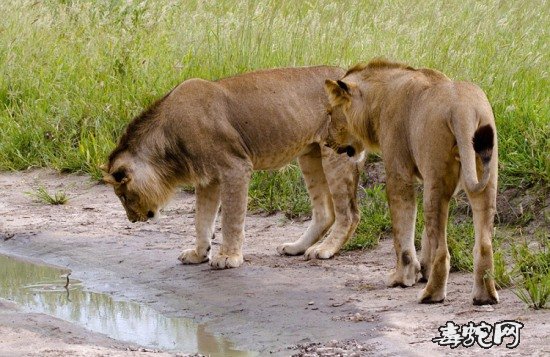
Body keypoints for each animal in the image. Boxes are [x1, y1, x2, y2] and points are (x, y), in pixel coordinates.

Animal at [103, 66, 366, 268]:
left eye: (123, 196)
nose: (132, 220)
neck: (167, 138)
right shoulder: (208, 179)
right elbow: (202, 219)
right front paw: (199, 254)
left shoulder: (236, 168)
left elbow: (231, 217)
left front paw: (228, 257)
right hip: (310, 155)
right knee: (325, 213)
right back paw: (296, 247)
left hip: (337, 152)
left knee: (349, 214)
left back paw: (325, 249)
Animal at [326, 58, 502, 304]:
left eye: (330, 113)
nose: (326, 141)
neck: (378, 99)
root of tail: (462, 110)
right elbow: (426, 234)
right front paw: (423, 271)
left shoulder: (398, 174)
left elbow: (403, 229)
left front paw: (402, 277)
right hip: (483, 173)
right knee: (483, 244)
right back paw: (484, 296)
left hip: (435, 174)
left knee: (442, 251)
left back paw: (431, 294)